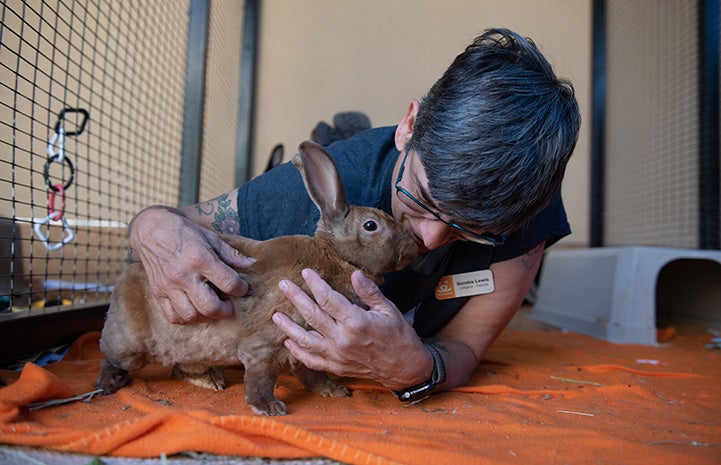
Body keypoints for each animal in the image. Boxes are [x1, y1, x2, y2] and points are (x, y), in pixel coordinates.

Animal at [95, 140, 420, 416]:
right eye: (371, 225)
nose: (413, 245)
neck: (337, 256)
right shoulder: (266, 344)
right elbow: (261, 378)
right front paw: (269, 408)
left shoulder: (305, 347)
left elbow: (312, 375)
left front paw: (334, 390)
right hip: (129, 345)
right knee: (112, 358)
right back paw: (107, 385)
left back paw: (210, 379)